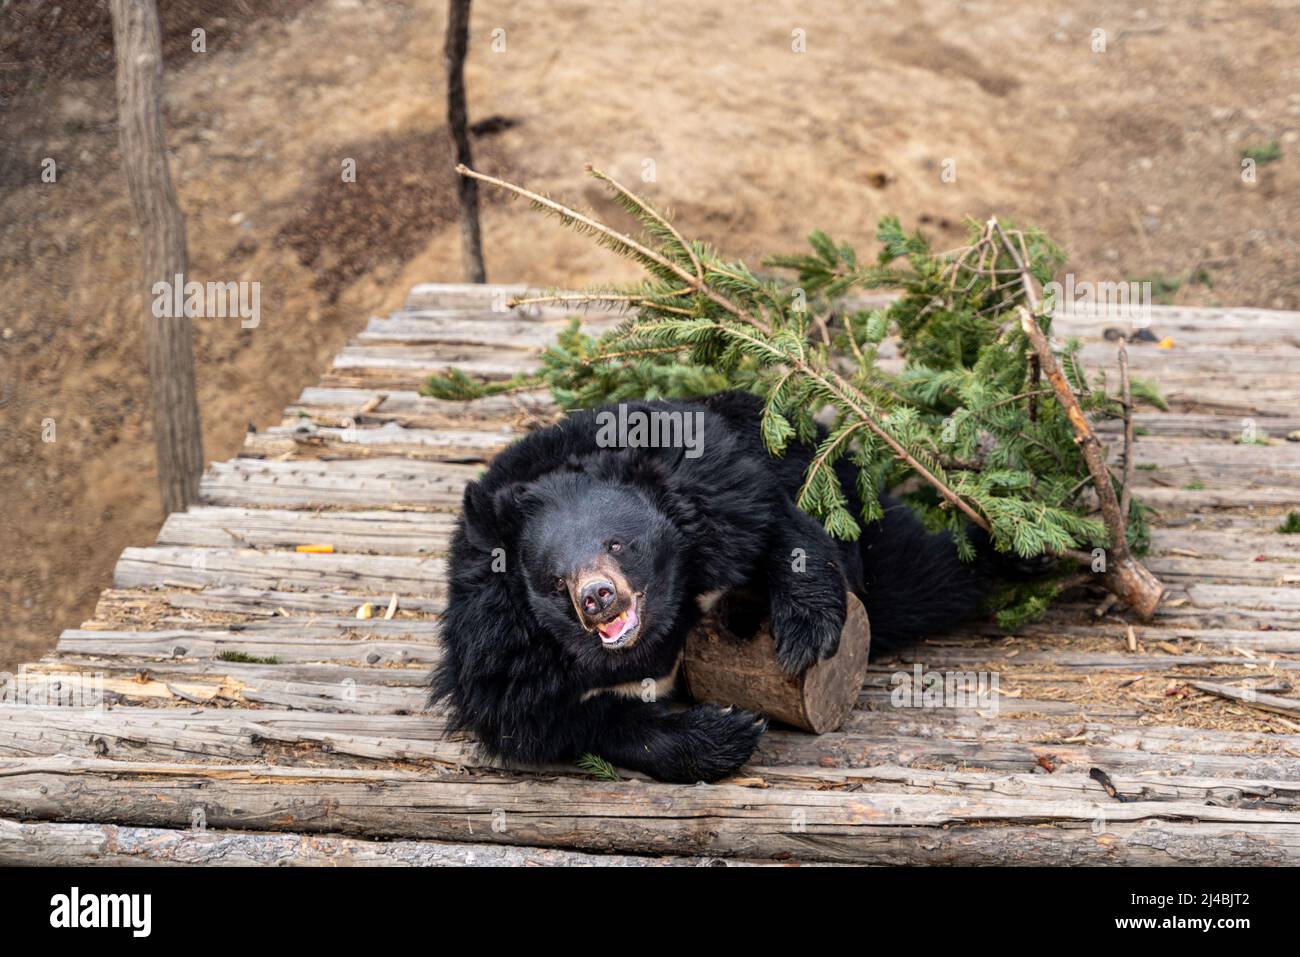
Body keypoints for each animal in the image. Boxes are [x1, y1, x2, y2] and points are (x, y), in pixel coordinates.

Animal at [426, 390, 982, 785]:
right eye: (554, 578)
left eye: (616, 544)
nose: (598, 597)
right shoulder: (503, 651)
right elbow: (555, 719)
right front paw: (730, 732)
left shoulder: (723, 484)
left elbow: (775, 523)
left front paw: (806, 634)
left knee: (925, 573)